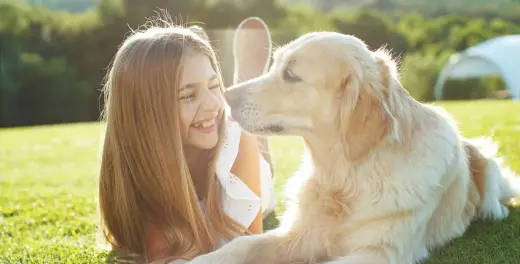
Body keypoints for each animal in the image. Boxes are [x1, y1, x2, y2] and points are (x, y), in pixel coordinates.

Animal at [187, 32, 520, 262]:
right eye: (276, 65)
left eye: (291, 74)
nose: (225, 96)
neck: (347, 177)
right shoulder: (300, 233)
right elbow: (241, 245)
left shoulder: (380, 252)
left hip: (489, 167)